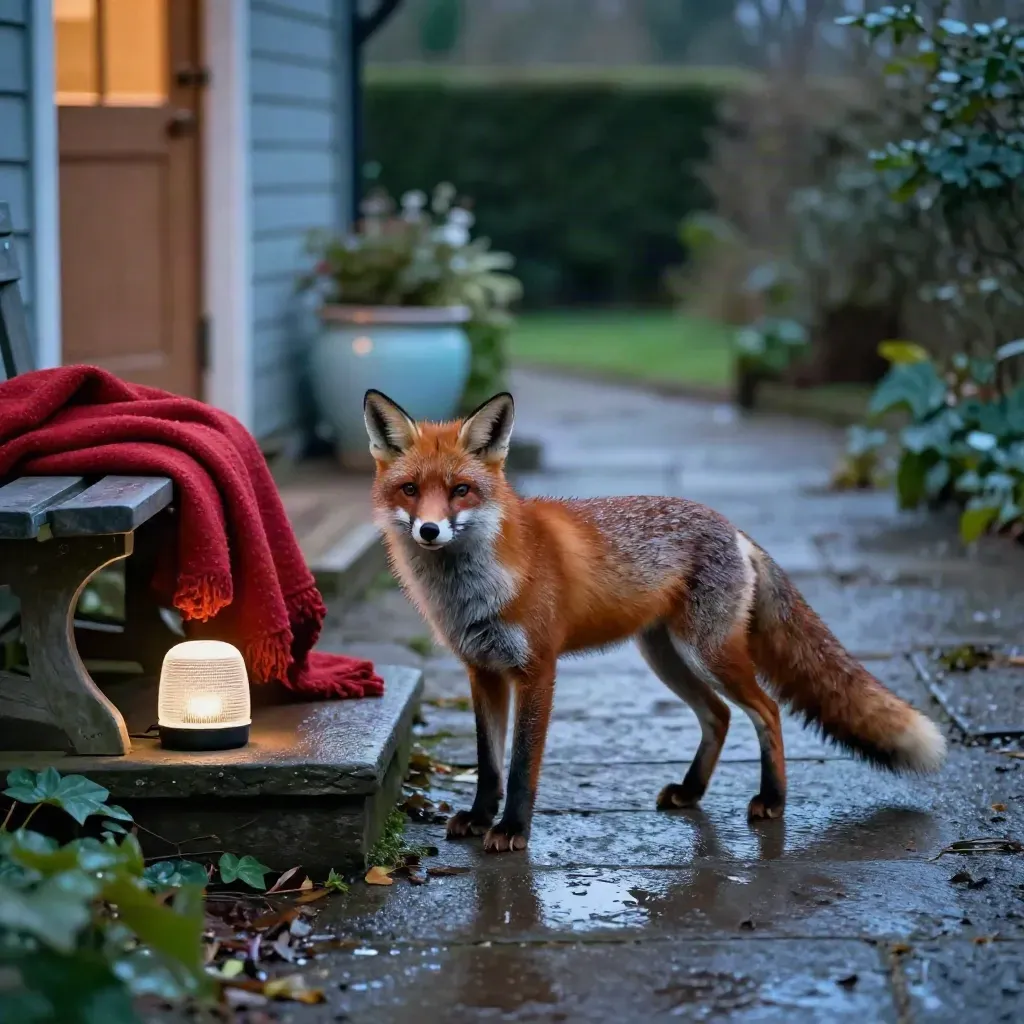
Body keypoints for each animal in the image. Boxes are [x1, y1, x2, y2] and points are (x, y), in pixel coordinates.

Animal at [363, 388, 947, 854]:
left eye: (460, 490)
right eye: (411, 490)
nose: (430, 530)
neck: (474, 590)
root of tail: (732, 527)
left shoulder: (537, 670)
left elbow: (522, 764)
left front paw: (512, 830)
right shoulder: (482, 671)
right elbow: (489, 763)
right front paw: (482, 817)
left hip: (709, 655)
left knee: (768, 710)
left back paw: (772, 799)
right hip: (666, 657)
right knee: (719, 715)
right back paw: (692, 792)